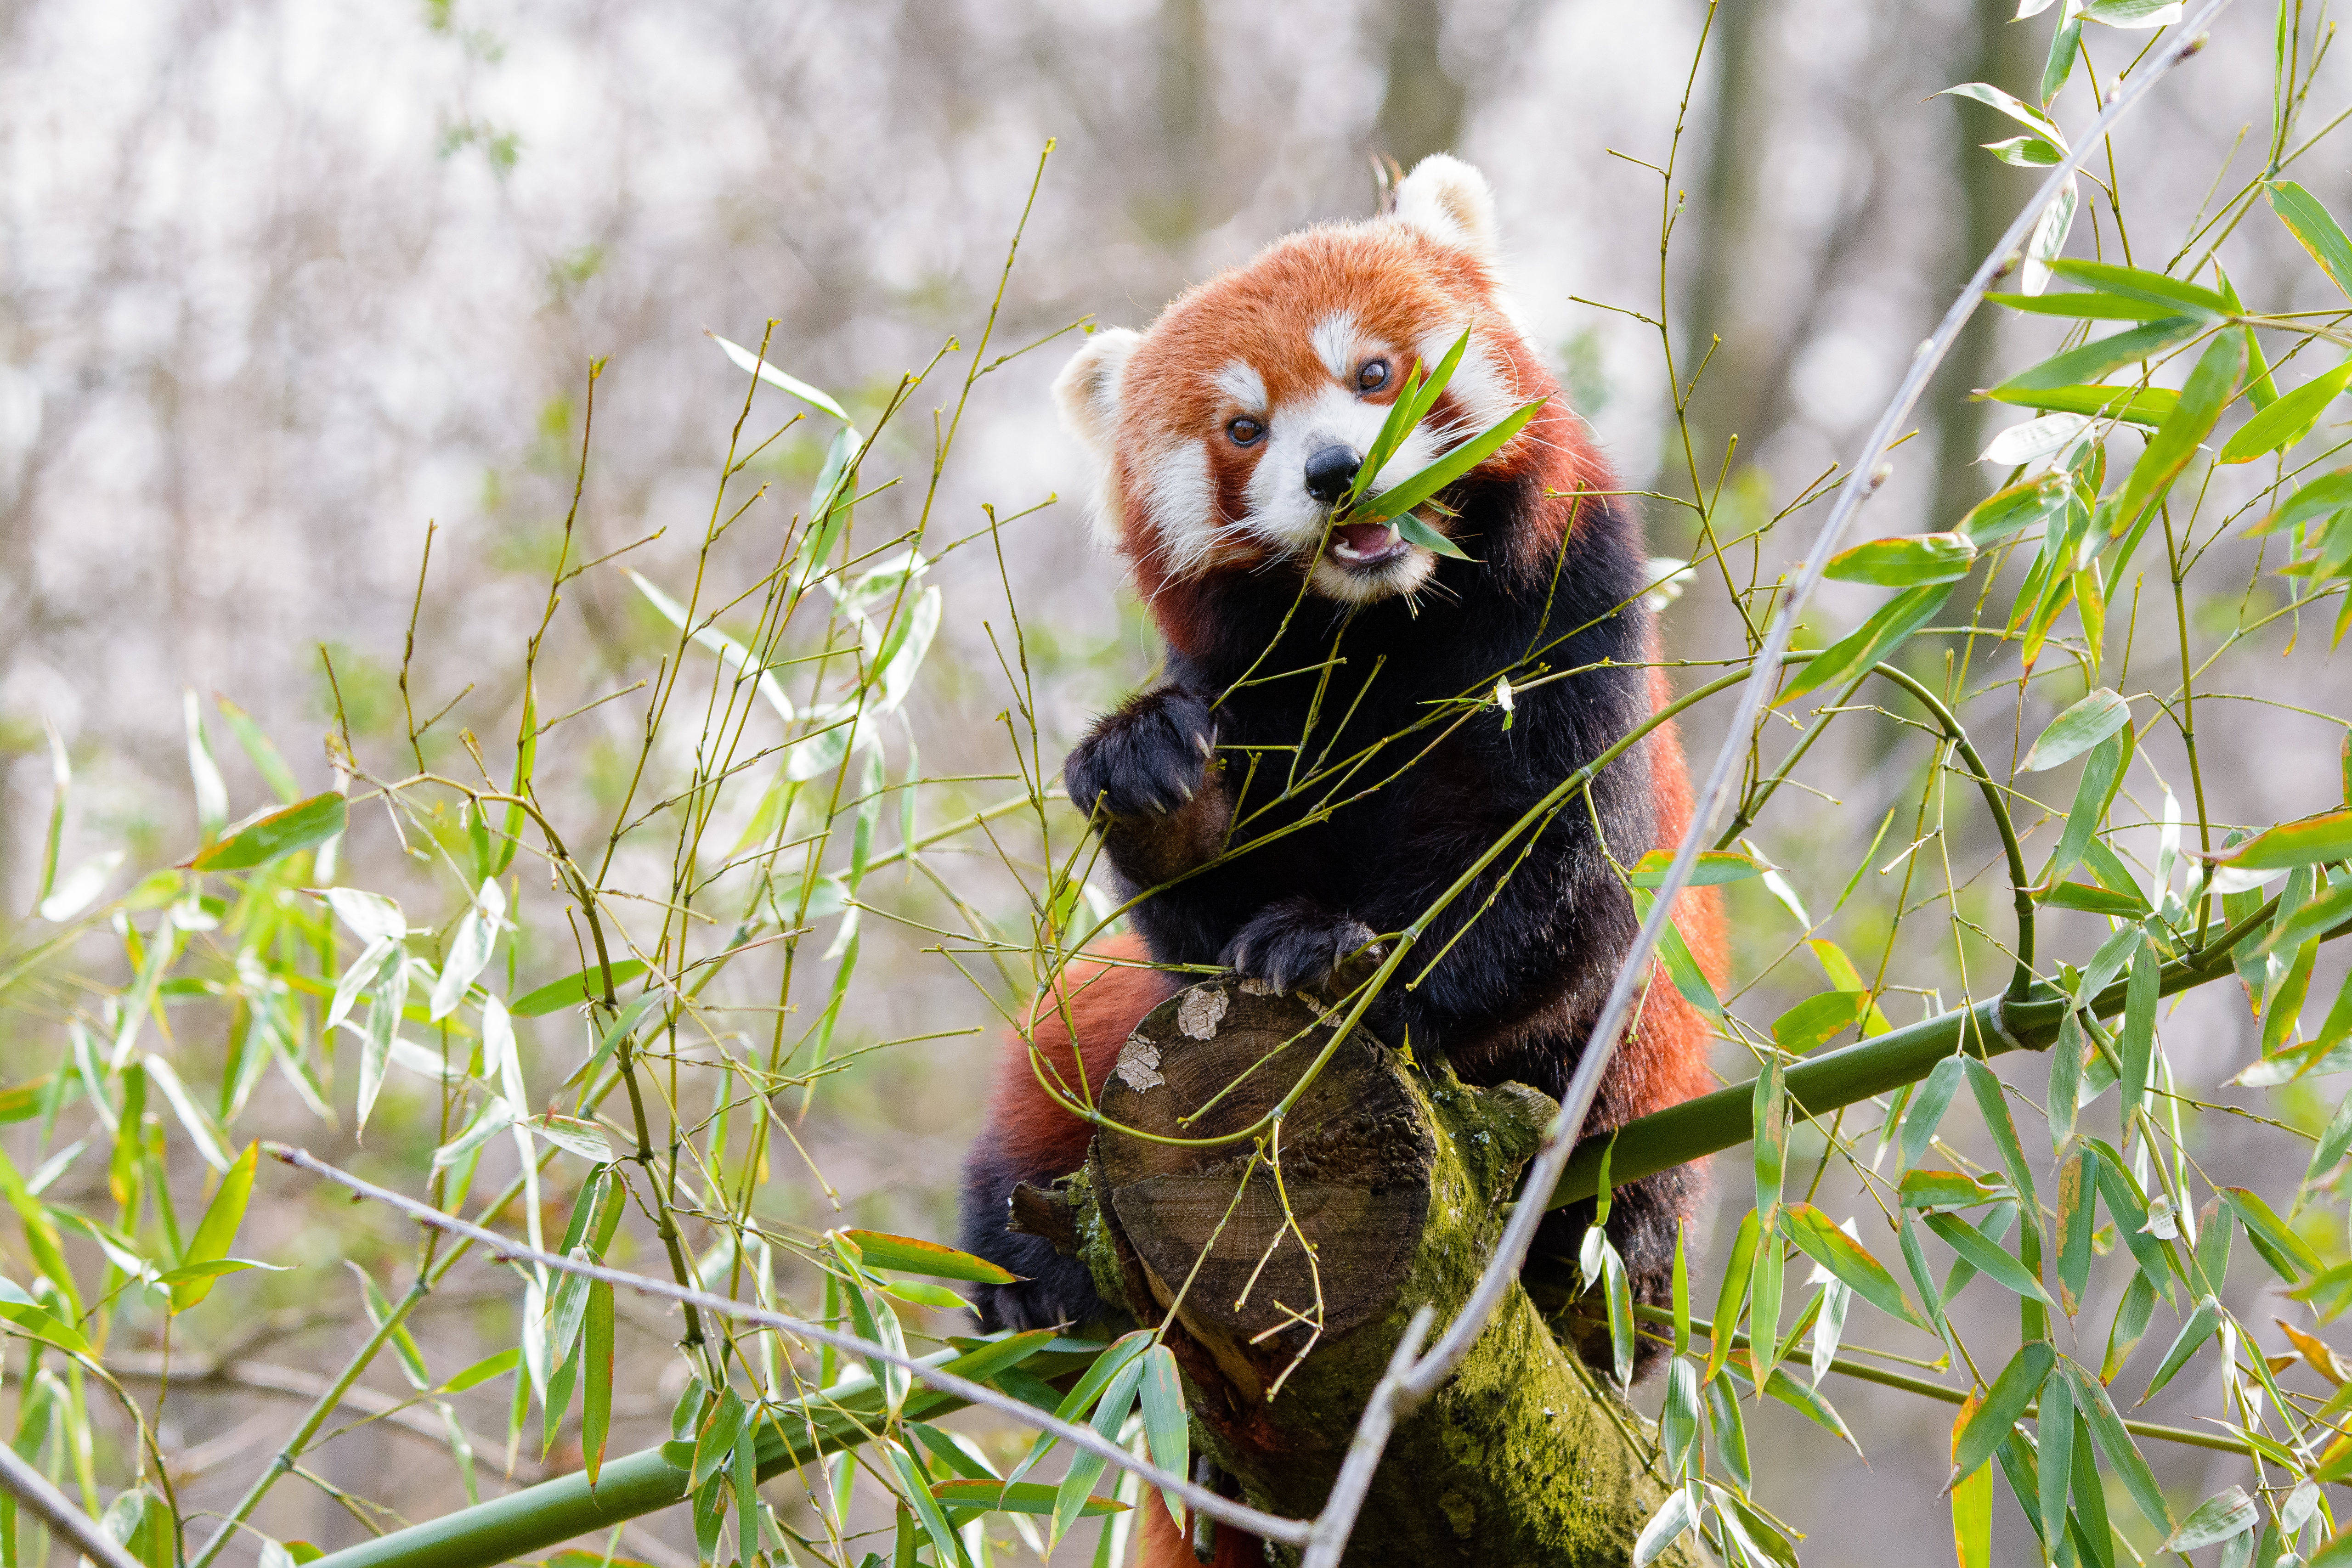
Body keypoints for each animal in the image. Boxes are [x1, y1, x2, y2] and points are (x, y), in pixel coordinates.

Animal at [955, 150, 1731, 1542]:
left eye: (1374, 374)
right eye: (1243, 428)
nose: (1332, 471)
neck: (1378, 625)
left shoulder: (1571, 625)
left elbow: (1558, 878)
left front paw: (1339, 956)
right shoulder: (1244, 685)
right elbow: (1192, 924)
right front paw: (1158, 786)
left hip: (1650, 1078)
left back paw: (1609, 1273)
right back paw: (1029, 1276)